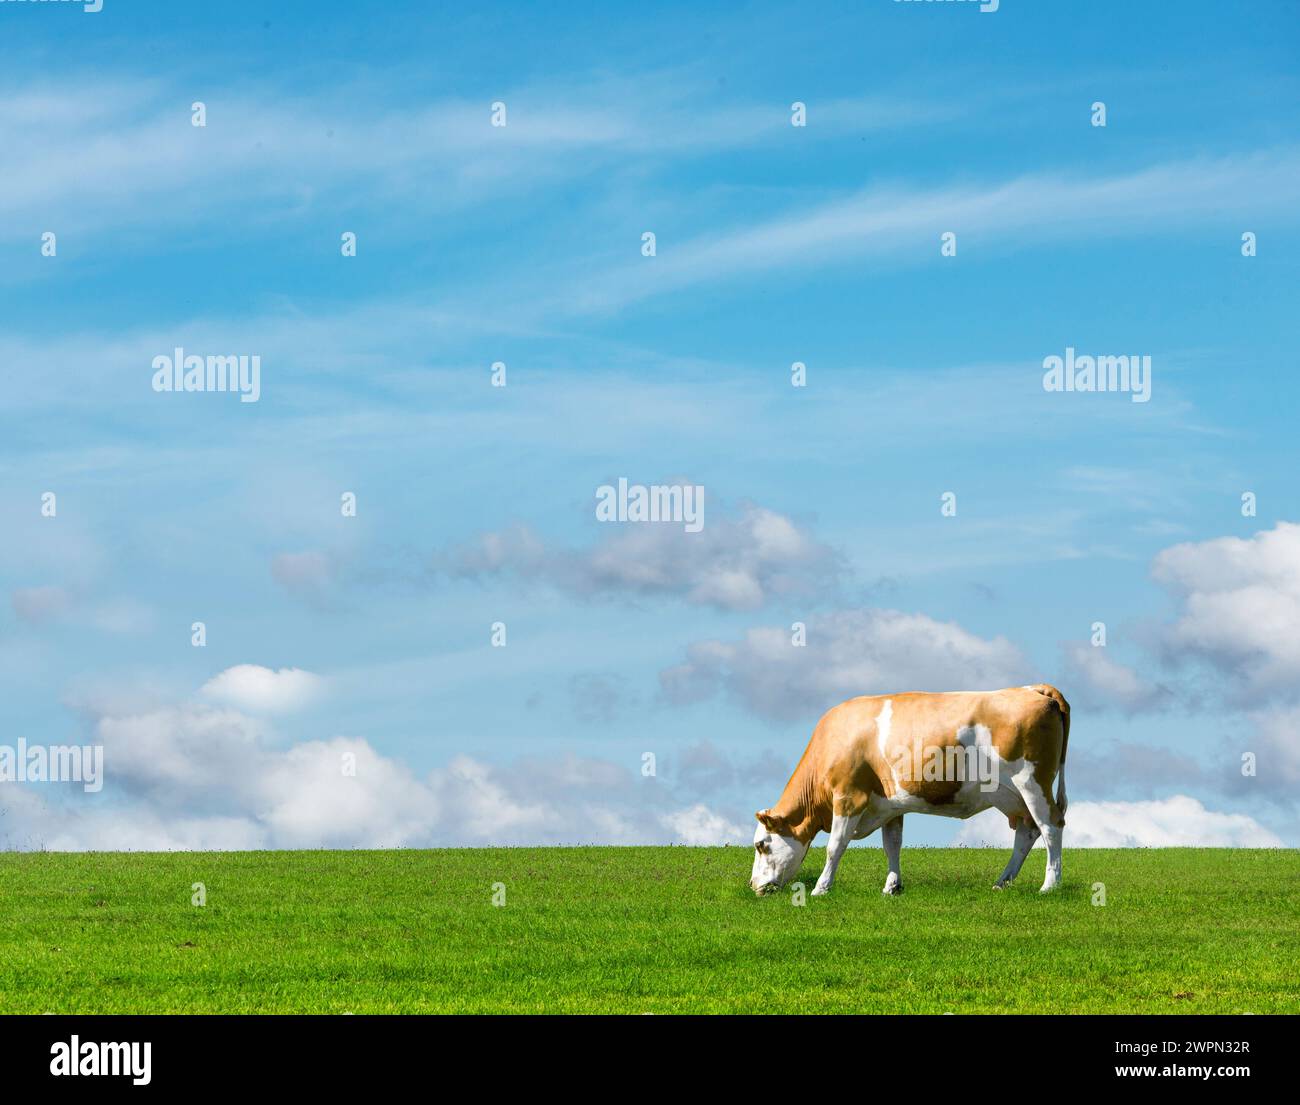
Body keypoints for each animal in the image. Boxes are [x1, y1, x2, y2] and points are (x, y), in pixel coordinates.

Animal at [748, 681, 1071, 894]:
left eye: (761, 845)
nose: (752, 885)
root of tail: (1033, 688)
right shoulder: (890, 804)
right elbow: (892, 845)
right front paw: (892, 886)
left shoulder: (849, 796)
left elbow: (835, 846)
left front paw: (821, 888)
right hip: (1010, 795)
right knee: (1027, 832)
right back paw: (1003, 882)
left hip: (1032, 781)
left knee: (1050, 826)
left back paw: (1050, 885)